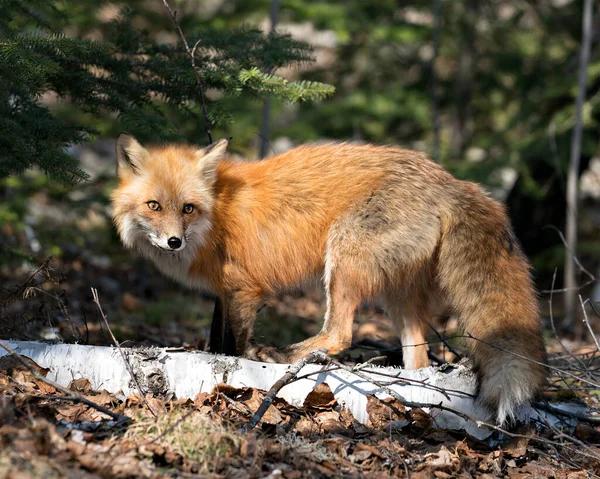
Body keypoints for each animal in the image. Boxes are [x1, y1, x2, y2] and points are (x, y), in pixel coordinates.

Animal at [112, 133, 548, 426]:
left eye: (187, 208)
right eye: (154, 205)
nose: (173, 241)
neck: (217, 213)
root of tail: (451, 179)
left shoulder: (244, 290)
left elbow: (232, 348)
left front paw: (235, 379)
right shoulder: (225, 295)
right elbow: (216, 341)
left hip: (342, 260)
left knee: (339, 335)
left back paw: (283, 355)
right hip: (395, 295)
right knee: (418, 357)